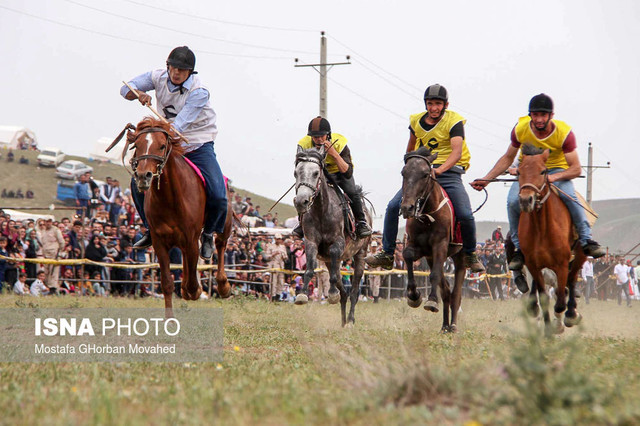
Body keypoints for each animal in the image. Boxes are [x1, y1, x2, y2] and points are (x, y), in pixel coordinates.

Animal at [112, 118, 232, 314]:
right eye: (137, 145)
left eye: (161, 146)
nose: (143, 176)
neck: (170, 198)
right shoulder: (159, 241)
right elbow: (167, 282)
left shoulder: (191, 240)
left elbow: (192, 282)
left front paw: (195, 290)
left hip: (224, 224)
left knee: (220, 245)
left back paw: (223, 285)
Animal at [292, 146, 372, 326]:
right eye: (296, 172)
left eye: (316, 173)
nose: (301, 201)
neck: (322, 210)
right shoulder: (311, 242)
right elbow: (309, 268)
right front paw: (302, 294)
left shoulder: (338, 243)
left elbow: (335, 271)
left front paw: (332, 294)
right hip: (329, 261)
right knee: (344, 292)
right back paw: (342, 321)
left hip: (360, 254)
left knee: (354, 291)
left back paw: (350, 321)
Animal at [400, 148, 464, 334]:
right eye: (403, 173)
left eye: (425, 174)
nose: (407, 208)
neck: (428, 216)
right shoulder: (419, 248)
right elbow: (407, 256)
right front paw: (414, 296)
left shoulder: (440, 246)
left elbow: (434, 275)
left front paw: (431, 301)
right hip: (431, 258)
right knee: (447, 291)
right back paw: (445, 326)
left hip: (460, 258)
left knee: (456, 294)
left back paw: (453, 326)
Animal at [520, 145, 584, 334]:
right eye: (518, 171)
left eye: (543, 171)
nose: (526, 200)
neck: (542, 230)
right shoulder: (534, 267)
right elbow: (543, 299)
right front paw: (547, 327)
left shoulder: (561, 266)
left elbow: (560, 300)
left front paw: (560, 323)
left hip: (578, 258)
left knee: (570, 283)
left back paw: (571, 315)